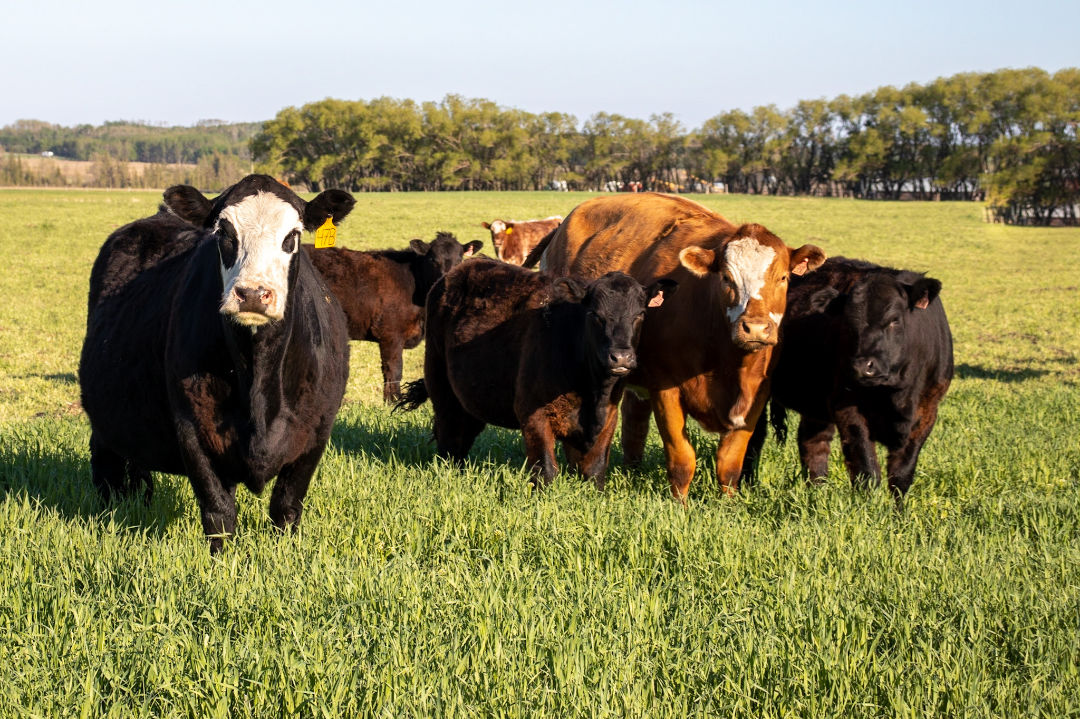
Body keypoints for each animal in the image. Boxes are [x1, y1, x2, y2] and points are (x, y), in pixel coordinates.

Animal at [79, 174, 354, 553]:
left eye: (293, 235)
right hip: (106, 423)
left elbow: (286, 508)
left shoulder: (316, 431)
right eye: (224, 233)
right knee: (106, 465)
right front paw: (224, 563)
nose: (252, 294)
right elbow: (219, 514)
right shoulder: (192, 428)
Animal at [304, 232, 482, 403]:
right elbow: (394, 369)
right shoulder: (391, 333)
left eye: (460, 259)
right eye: (433, 259)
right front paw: (393, 400)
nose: (445, 281)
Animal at [395, 259, 675, 487]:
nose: (621, 357)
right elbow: (545, 470)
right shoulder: (533, 414)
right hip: (441, 386)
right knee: (449, 438)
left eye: (640, 315)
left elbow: (594, 471)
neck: (590, 390)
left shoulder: (607, 417)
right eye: (595, 315)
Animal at [523, 192, 825, 500]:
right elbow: (682, 458)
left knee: (633, 421)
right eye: (726, 278)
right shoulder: (665, 388)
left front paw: (728, 502)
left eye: (783, 278)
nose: (755, 328)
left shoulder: (756, 395)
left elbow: (730, 462)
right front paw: (680, 502)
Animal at [744, 257, 953, 502]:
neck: (896, 393)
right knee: (753, 438)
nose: (862, 366)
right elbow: (866, 468)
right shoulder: (847, 407)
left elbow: (902, 474)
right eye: (849, 322)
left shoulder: (928, 411)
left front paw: (898, 510)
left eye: (894, 320)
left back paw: (817, 493)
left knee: (813, 443)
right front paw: (868, 506)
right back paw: (747, 487)